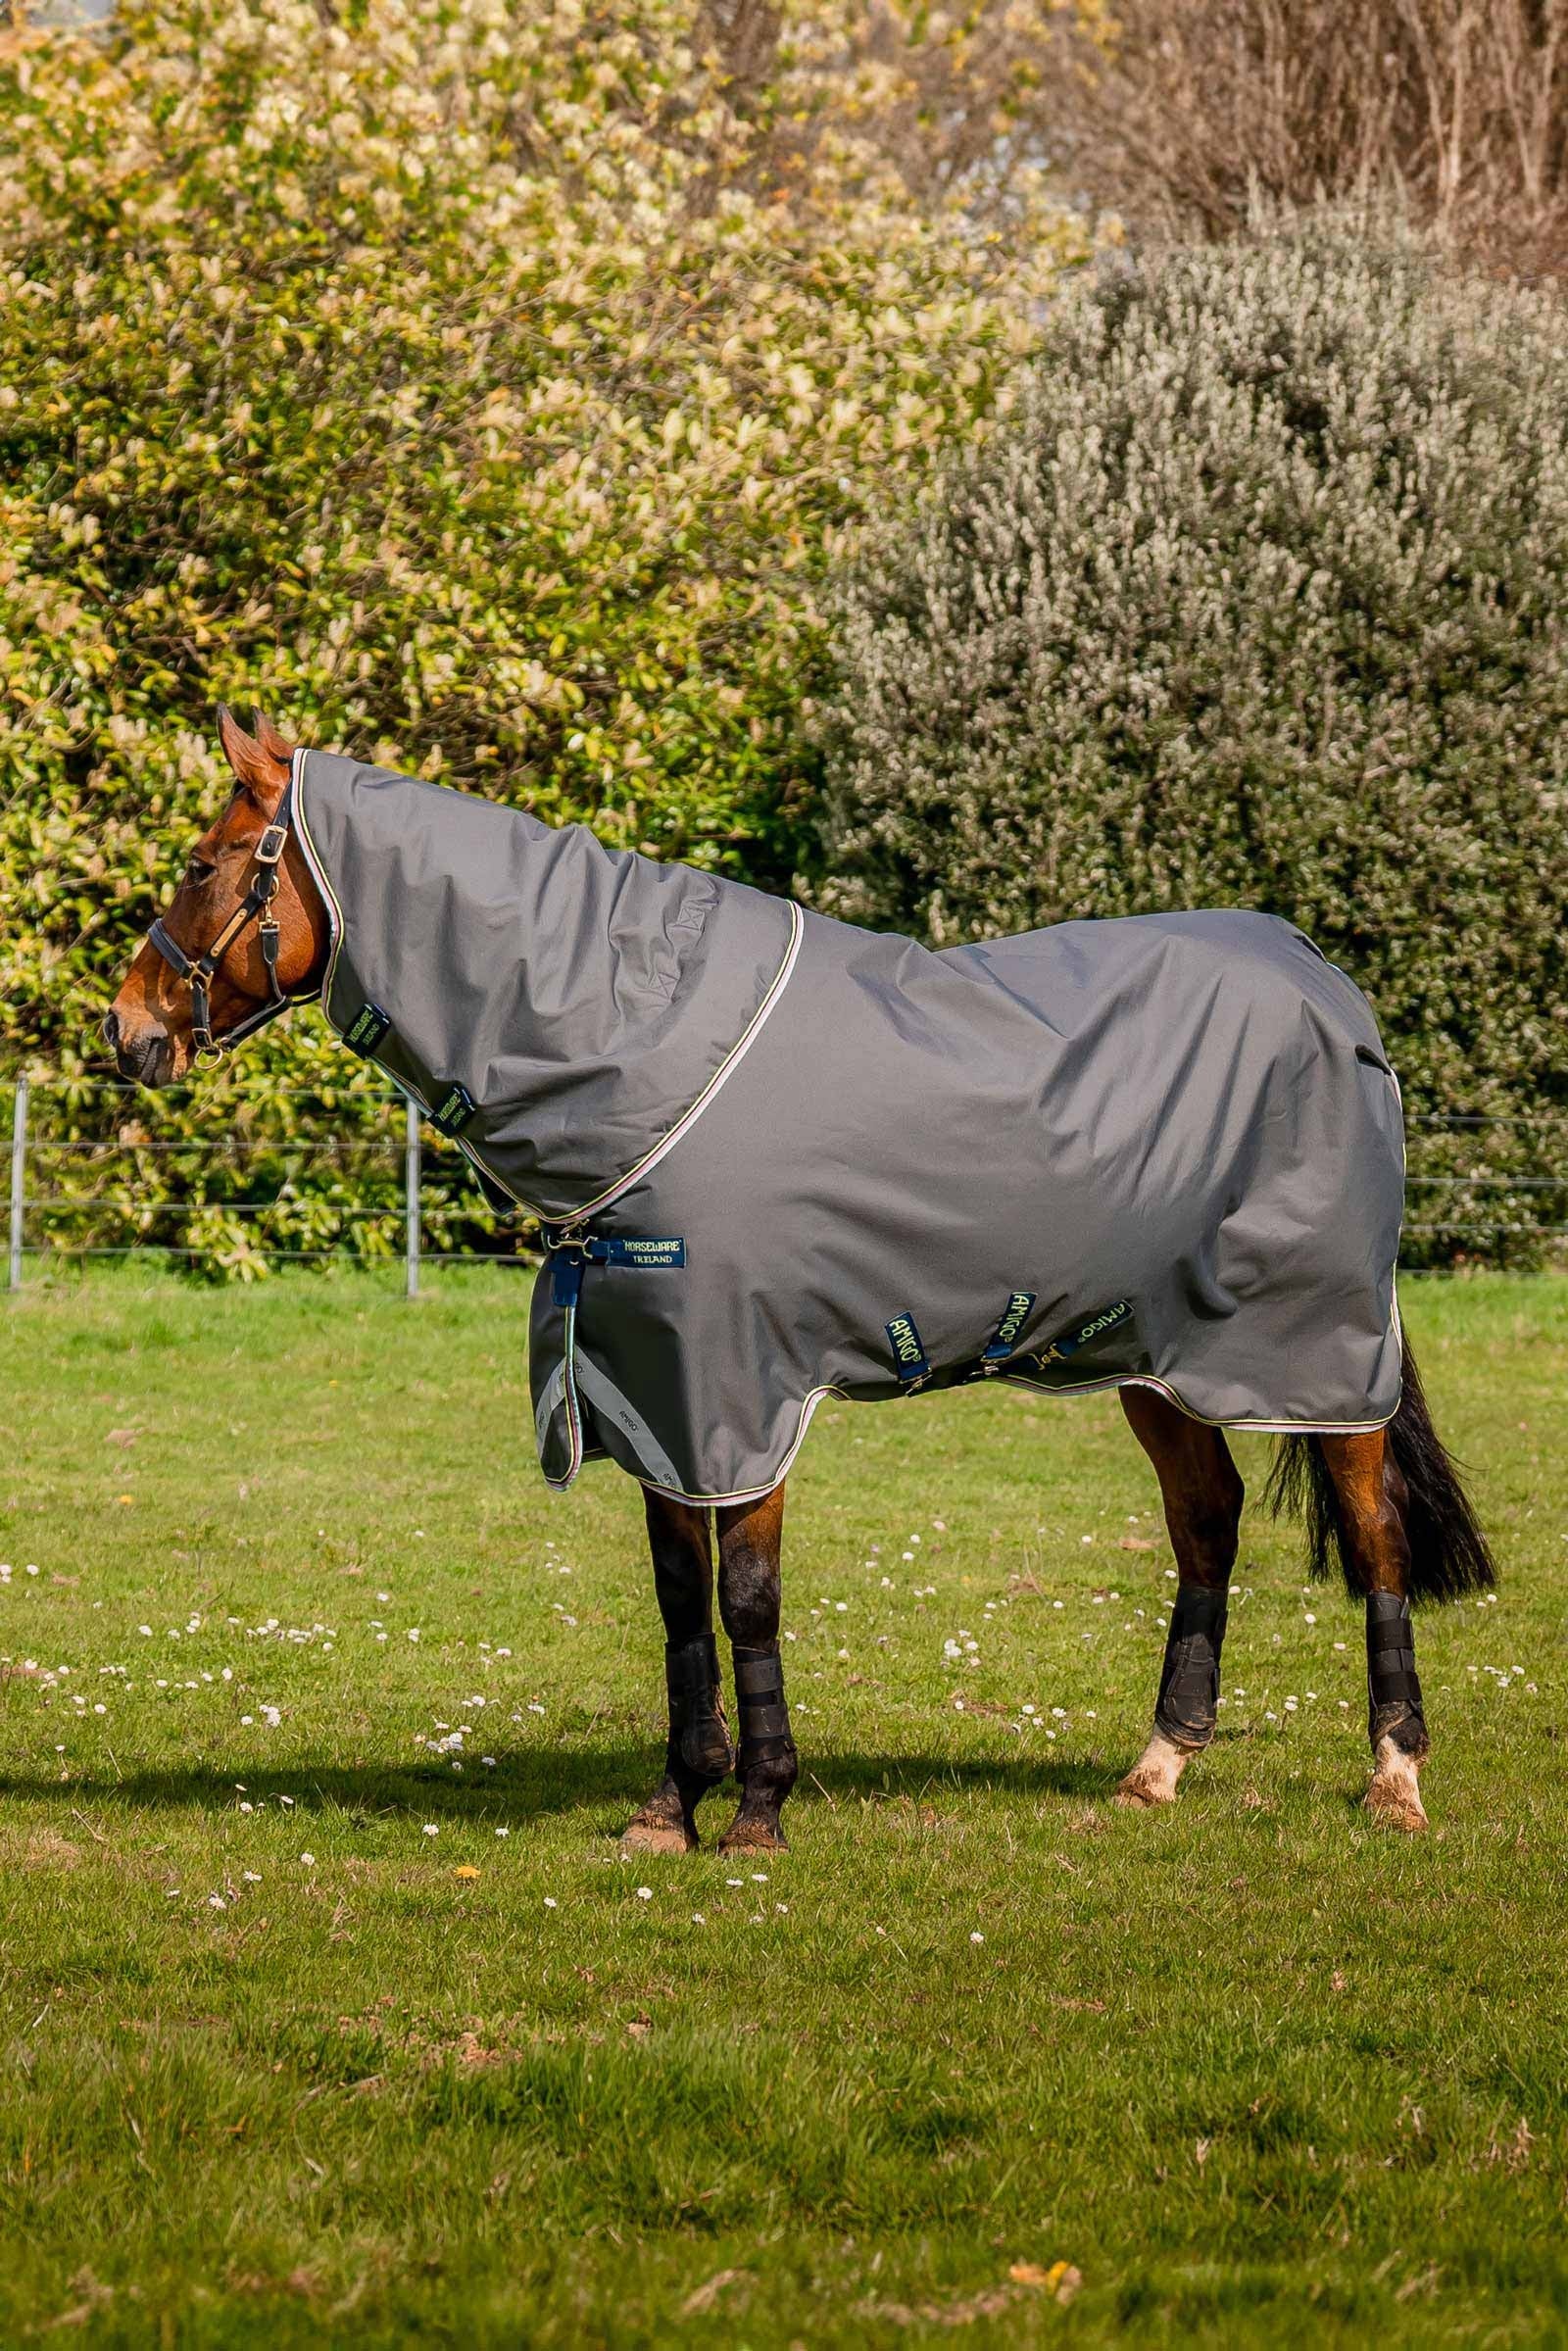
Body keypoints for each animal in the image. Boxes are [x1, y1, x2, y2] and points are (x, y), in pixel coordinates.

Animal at [105, 710, 1495, 1850]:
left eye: (203, 863)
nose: (128, 1031)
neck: (641, 1044)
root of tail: (1319, 974)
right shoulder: (654, 1392)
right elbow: (681, 1601)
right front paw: (673, 1802)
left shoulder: (742, 1387)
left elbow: (750, 1596)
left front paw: (760, 1807)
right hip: (1151, 1354)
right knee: (1205, 1521)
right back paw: (1157, 1766)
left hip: (1318, 1349)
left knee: (1373, 1532)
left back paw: (1394, 1779)